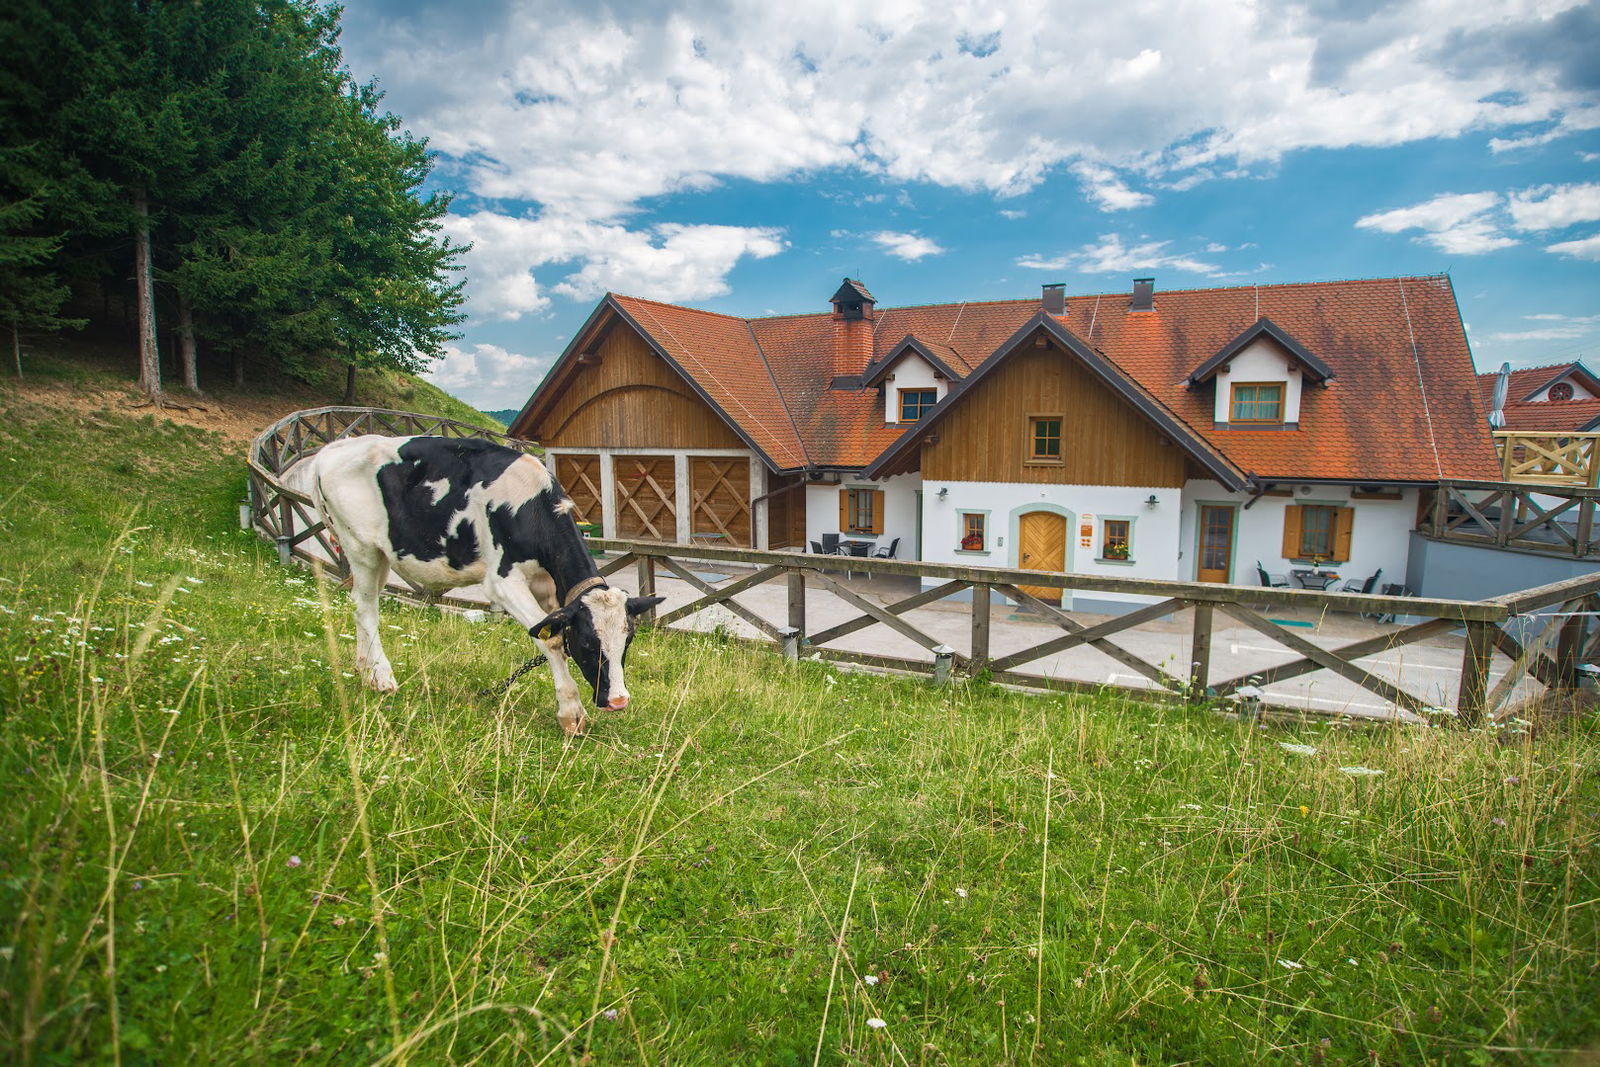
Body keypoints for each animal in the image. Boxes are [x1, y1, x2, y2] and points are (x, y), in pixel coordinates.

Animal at [305, 435, 662, 735]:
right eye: (588, 643)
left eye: (628, 640)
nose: (618, 700)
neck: (530, 507)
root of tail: (332, 449)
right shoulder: (503, 582)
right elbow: (550, 641)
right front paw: (571, 714)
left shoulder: (549, 587)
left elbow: (555, 634)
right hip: (360, 546)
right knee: (366, 608)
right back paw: (382, 678)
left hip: (380, 554)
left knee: (361, 604)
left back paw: (365, 669)